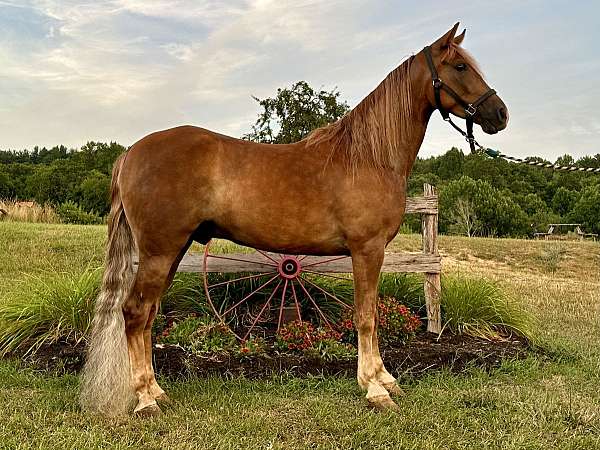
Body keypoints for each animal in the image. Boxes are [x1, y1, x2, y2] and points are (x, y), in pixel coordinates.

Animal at [82, 22, 508, 416]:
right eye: (459, 66)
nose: (500, 114)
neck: (370, 156)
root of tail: (131, 152)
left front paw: (386, 379)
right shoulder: (366, 250)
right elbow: (366, 316)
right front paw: (375, 388)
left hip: (173, 249)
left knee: (148, 314)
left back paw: (157, 392)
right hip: (160, 251)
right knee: (135, 313)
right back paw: (144, 399)